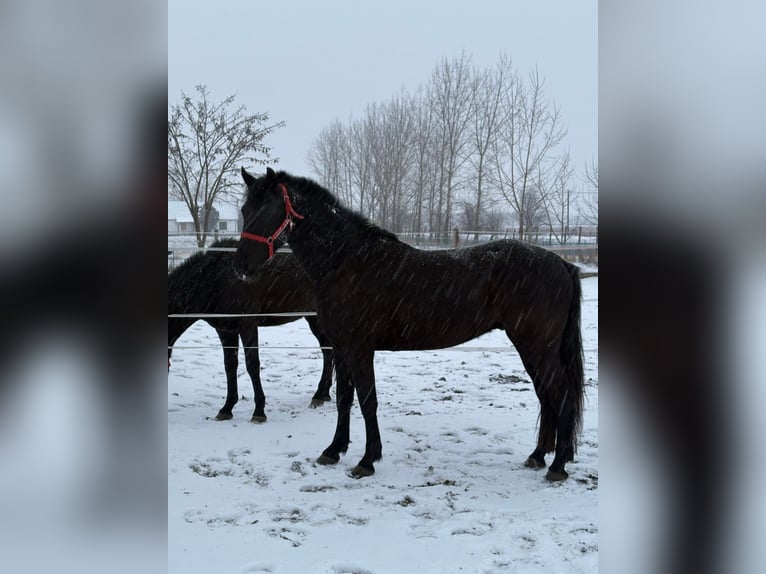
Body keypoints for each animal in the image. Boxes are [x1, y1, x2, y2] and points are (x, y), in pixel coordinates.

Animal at [168, 238, 334, 422]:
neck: (216, 279)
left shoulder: (247, 325)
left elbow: (252, 365)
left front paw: (259, 411)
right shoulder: (226, 330)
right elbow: (230, 365)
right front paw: (227, 408)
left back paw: (320, 394)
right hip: (313, 318)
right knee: (328, 351)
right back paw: (323, 394)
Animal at [235, 168, 584, 481]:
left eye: (268, 210)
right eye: (245, 210)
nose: (240, 267)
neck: (347, 262)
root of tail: (562, 264)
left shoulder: (360, 348)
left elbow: (368, 401)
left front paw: (367, 460)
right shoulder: (342, 347)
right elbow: (345, 399)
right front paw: (333, 451)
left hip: (537, 346)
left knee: (561, 395)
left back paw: (558, 466)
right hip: (531, 348)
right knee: (546, 396)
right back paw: (538, 456)